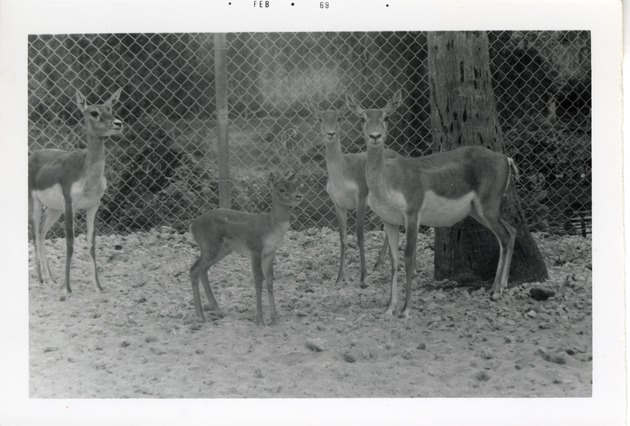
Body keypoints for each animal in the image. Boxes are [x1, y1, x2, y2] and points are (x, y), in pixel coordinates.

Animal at [29, 89, 124, 296]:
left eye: (110, 108)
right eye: (94, 112)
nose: (118, 123)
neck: (87, 173)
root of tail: (34, 154)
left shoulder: (93, 206)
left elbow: (91, 244)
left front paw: (98, 286)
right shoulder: (69, 205)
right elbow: (70, 243)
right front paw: (68, 288)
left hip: (54, 209)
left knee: (42, 230)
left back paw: (51, 279)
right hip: (36, 203)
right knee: (34, 232)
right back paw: (40, 280)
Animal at [190, 171, 304, 324]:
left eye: (295, 185)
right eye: (281, 189)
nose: (299, 196)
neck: (271, 226)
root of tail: (193, 226)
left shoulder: (269, 252)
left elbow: (269, 279)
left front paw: (275, 317)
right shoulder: (255, 249)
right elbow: (258, 279)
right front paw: (260, 319)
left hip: (221, 250)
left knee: (202, 270)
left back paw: (217, 310)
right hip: (209, 246)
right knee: (195, 270)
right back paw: (200, 316)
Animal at [308, 100, 400, 288]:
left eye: (339, 118)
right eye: (320, 118)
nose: (330, 133)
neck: (343, 174)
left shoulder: (360, 200)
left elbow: (359, 235)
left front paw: (363, 278)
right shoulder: (338, 204)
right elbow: (343, 238)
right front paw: (338, 278)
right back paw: (378, 264)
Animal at [346, 91, 520, 318]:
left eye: (386, 117)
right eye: (362, 118)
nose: (375, 136)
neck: (389, 182)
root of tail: (504, 158)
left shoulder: (412, 215)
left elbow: (408, 257)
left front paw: (405, 310)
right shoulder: (389, 221)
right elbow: (394, 262)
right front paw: (389, 308)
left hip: (488, 206)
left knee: (505, 236)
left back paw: (495, 292)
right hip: (478, 211)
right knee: (512, 231)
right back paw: (504, 286)